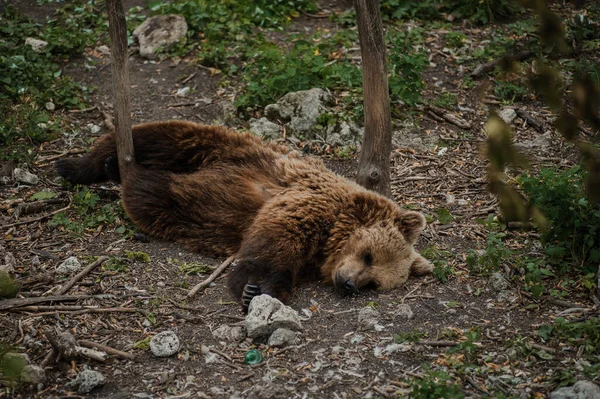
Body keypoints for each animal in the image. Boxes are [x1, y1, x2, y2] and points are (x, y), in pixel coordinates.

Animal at [55, 120, 432, 310]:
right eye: (369, 255)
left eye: (375, 283)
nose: (350, 284)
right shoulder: (307, 201)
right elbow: (275, 240)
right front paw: (254, 286)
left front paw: (262, 290)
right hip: (221, 144)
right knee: (155, 138)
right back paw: (86, 165)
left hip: (183, 208)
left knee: (155, 196)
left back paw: (122, 172)